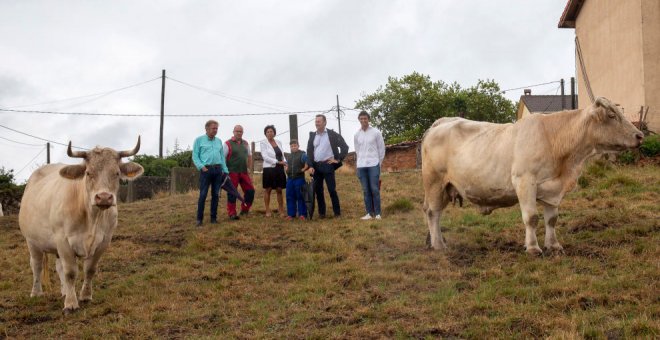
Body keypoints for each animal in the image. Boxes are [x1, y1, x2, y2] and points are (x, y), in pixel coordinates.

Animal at [20, 137, 144, 312]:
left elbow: (89, 269)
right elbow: (71, 272)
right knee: (36, 265)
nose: (104, 197)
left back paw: (64, 291)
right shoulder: (62, 240)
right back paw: (36, 293)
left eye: (116, 173)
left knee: (58, 266)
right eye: (88, 173)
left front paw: (85, 296)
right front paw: (71, 304)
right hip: (32, 241)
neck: (92, 218)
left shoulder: (104, 241)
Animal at [422, 97, 644, 254]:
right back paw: (438, 245)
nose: (640, 135)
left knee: (434, 212)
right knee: (433, 213)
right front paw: (533, 248)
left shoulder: (553, 189)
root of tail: (442, 122)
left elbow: (552, 219)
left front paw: (553, 246)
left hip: (446, 187)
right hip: (434, 182)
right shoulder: (525, 181)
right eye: (612, 115)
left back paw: (436, 241)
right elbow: (531, 217)